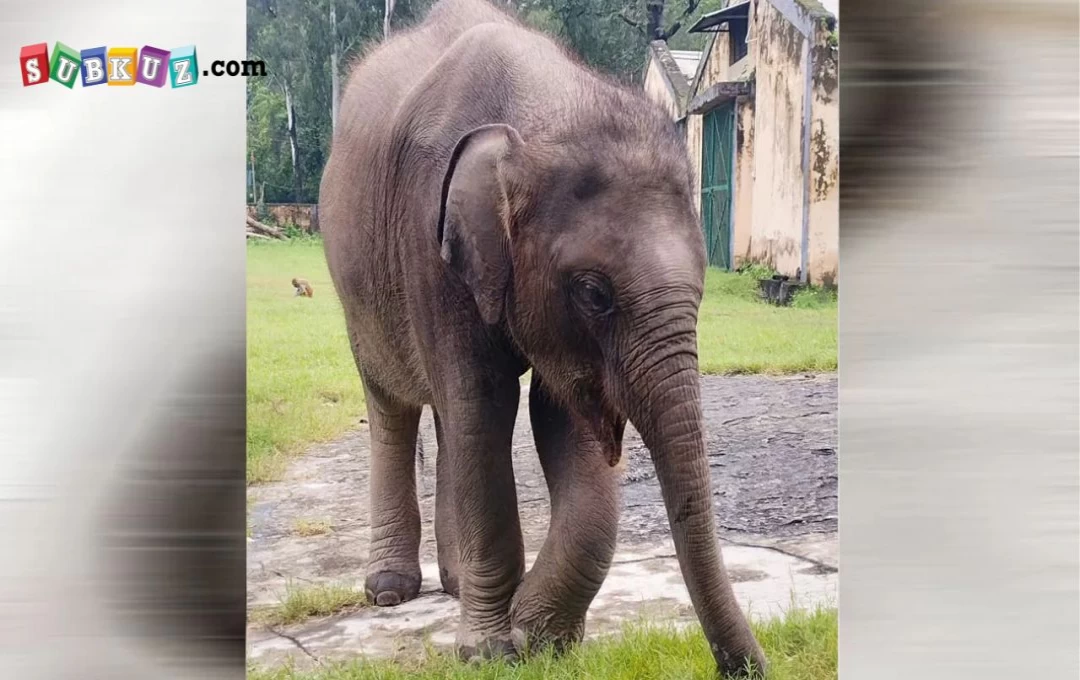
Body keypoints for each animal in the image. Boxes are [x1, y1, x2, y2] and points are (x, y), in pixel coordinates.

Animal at [319, 0, 768, 677]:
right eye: (593, 293)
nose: (748, 667)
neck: (545, 110)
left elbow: (560, 421)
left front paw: (539, 636)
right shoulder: (430, 242)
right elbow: (485, 403)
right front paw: (490, 651)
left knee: (450, 419)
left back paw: (455, 585)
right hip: (355, 288)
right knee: (399, 405)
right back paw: (391, 591)